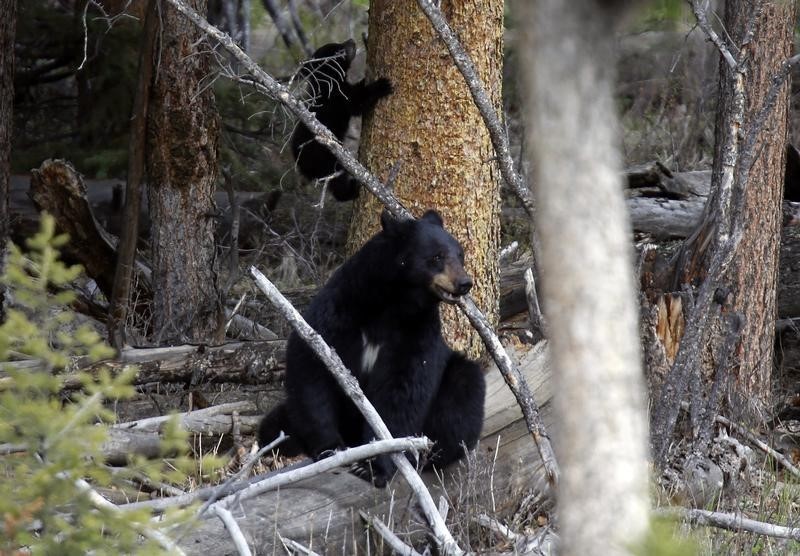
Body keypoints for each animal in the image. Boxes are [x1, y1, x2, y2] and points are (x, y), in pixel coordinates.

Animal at [262, 210, 484, 486]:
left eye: (460, 255)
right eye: (437, 257)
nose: (464, 282)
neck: (391, 303)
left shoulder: (416, 332)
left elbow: (401, 391)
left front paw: (372, 466)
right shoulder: (339, 312)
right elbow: (312, 368)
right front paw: (330, 448)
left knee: (464, 391)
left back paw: (428, 454)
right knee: (273, 425)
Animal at [294, 40, 394, 202]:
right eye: (338, 49)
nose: (351, 41)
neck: (327, 84)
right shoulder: (339, 98)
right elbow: (357, 101)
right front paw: (382, 84)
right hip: (326, 158)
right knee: (337, 181)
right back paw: (351, 190)